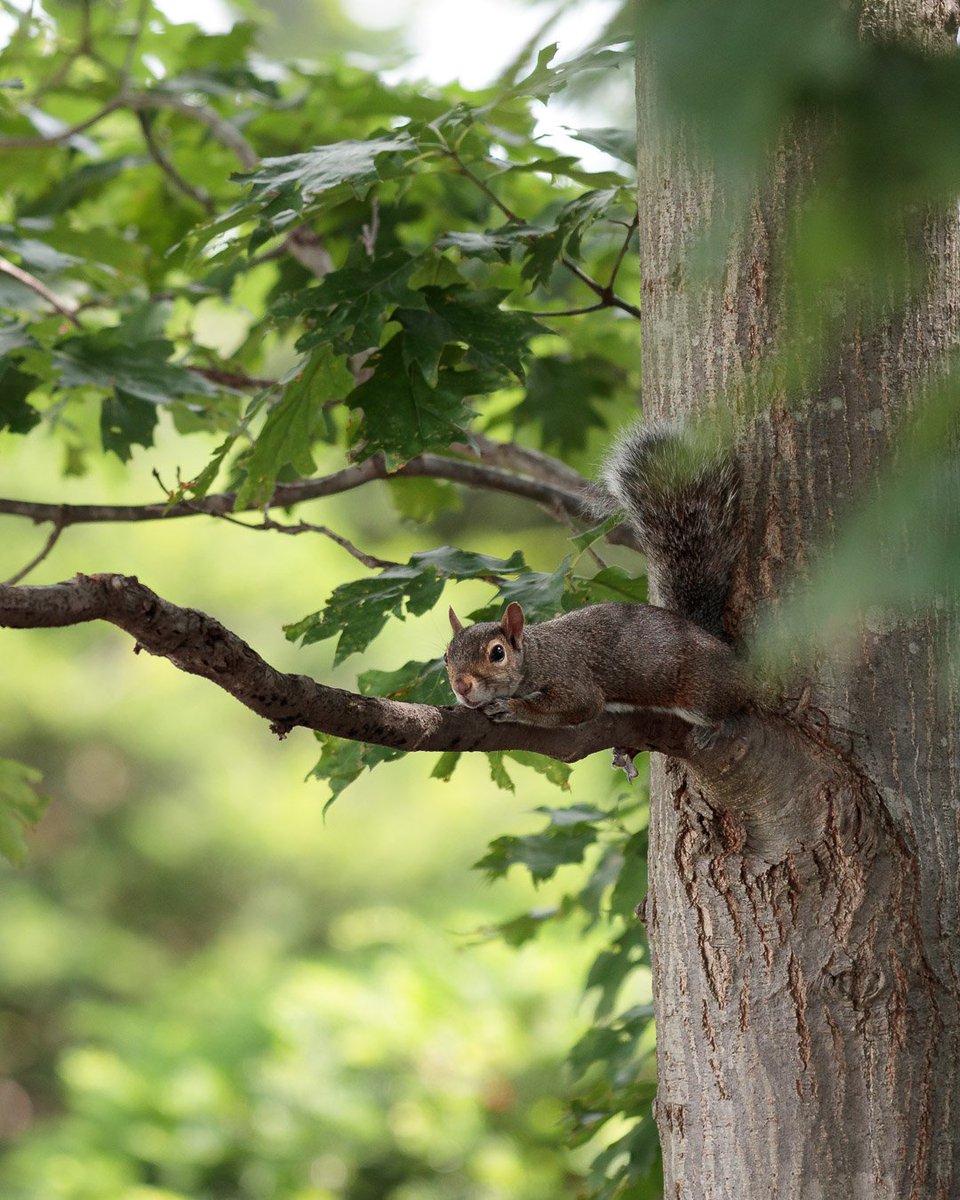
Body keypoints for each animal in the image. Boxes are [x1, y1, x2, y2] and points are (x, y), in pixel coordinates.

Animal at [444, 421, 748, 739]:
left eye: (497, 653)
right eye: (446, 656)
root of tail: (712, 639)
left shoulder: (571, 679)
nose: (461, 686)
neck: (536, 656)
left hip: (703, 692)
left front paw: (513, 708)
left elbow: (580, 706)